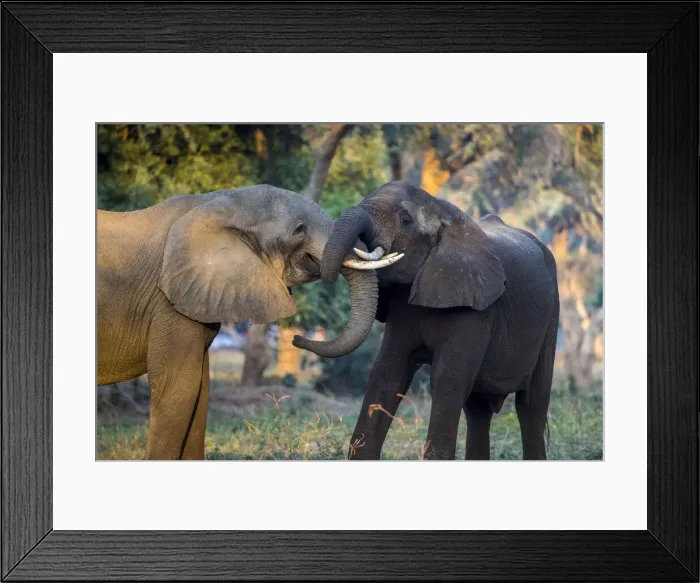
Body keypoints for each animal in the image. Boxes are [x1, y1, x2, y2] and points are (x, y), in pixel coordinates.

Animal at [97, 185, 402, 460]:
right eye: (299, 229)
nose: (296, 339)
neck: (218, 201)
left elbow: (200, 387)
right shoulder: (168, 302)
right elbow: (179, 384)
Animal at [295, 181, 559, 460]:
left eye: (405, 220)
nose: (296, 338)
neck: (444, 213)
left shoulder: (476, 307)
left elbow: (447, 381)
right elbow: (387, 374)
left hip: (552, 314)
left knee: (531, 406)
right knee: (478, 410)